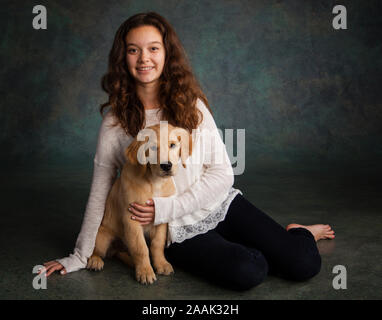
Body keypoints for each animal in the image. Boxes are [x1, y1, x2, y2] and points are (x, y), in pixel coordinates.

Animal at [87, 123, 192, 284]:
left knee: (120, 252)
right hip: (102, 236)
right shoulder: (131, 219)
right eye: (153, 147)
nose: (166, 166)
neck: (155, 182)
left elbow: (157, 244)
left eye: (172, 145)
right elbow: (140, 247)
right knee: (97, 250)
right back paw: (94, 260)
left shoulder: (161, 217)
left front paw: (161, 264)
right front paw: (145, 271)